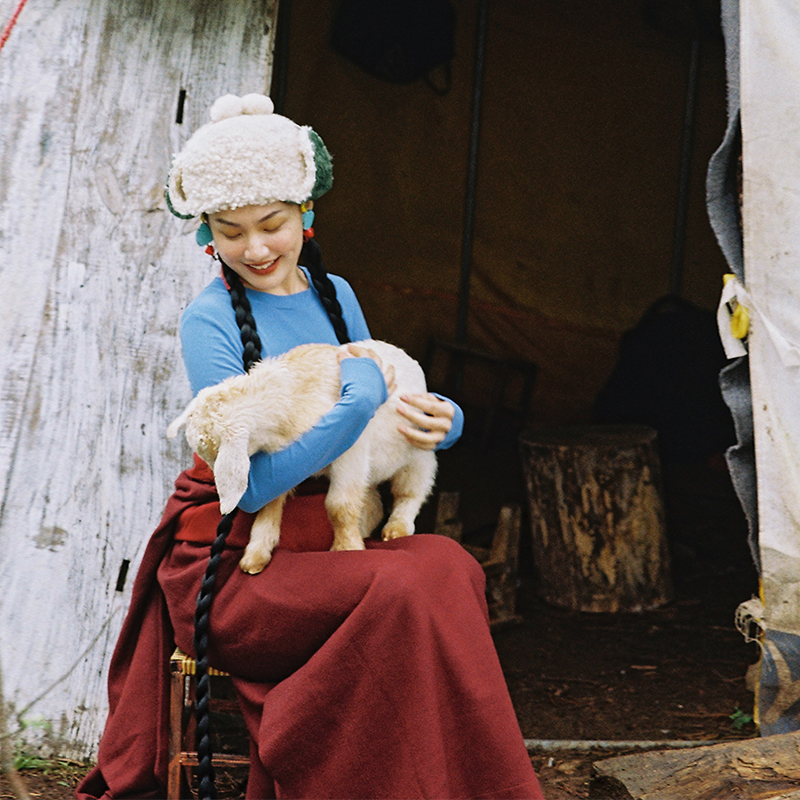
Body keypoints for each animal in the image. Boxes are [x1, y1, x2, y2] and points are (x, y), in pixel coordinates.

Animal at [164, 338, 438, 576]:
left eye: (213, 451)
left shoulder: (351, 449)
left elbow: (339, 505)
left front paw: (346, 549)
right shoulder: (285, 461)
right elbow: (270, 503)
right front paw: (255, 556)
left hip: (418, 456)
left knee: (410, 493)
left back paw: (395, 529)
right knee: (374, 503)